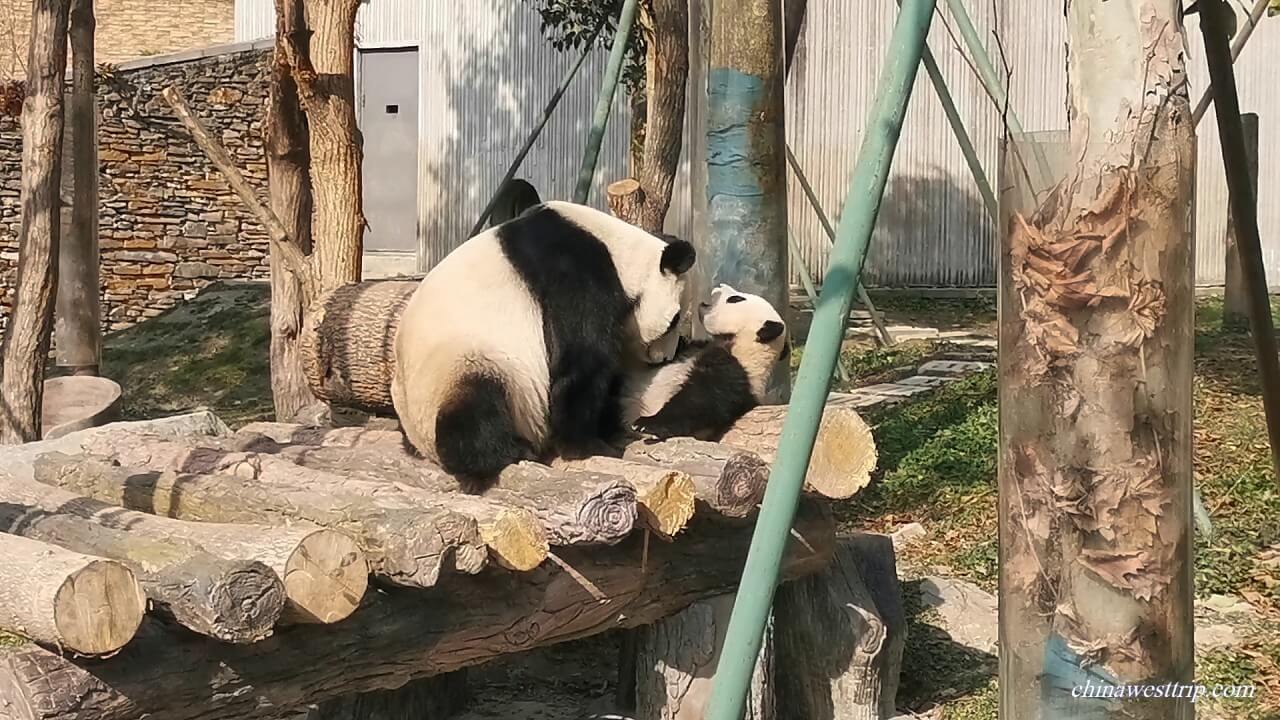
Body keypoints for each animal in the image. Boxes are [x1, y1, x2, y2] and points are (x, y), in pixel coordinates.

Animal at [392, 201, 696, 487]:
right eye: (674, 320)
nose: (665, 358)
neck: (618, 250)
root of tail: (423, 445)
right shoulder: (574, 273)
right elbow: (583, 361)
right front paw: (587, 445)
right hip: (466, 364)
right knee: (476, 408)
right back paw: (513, 451)